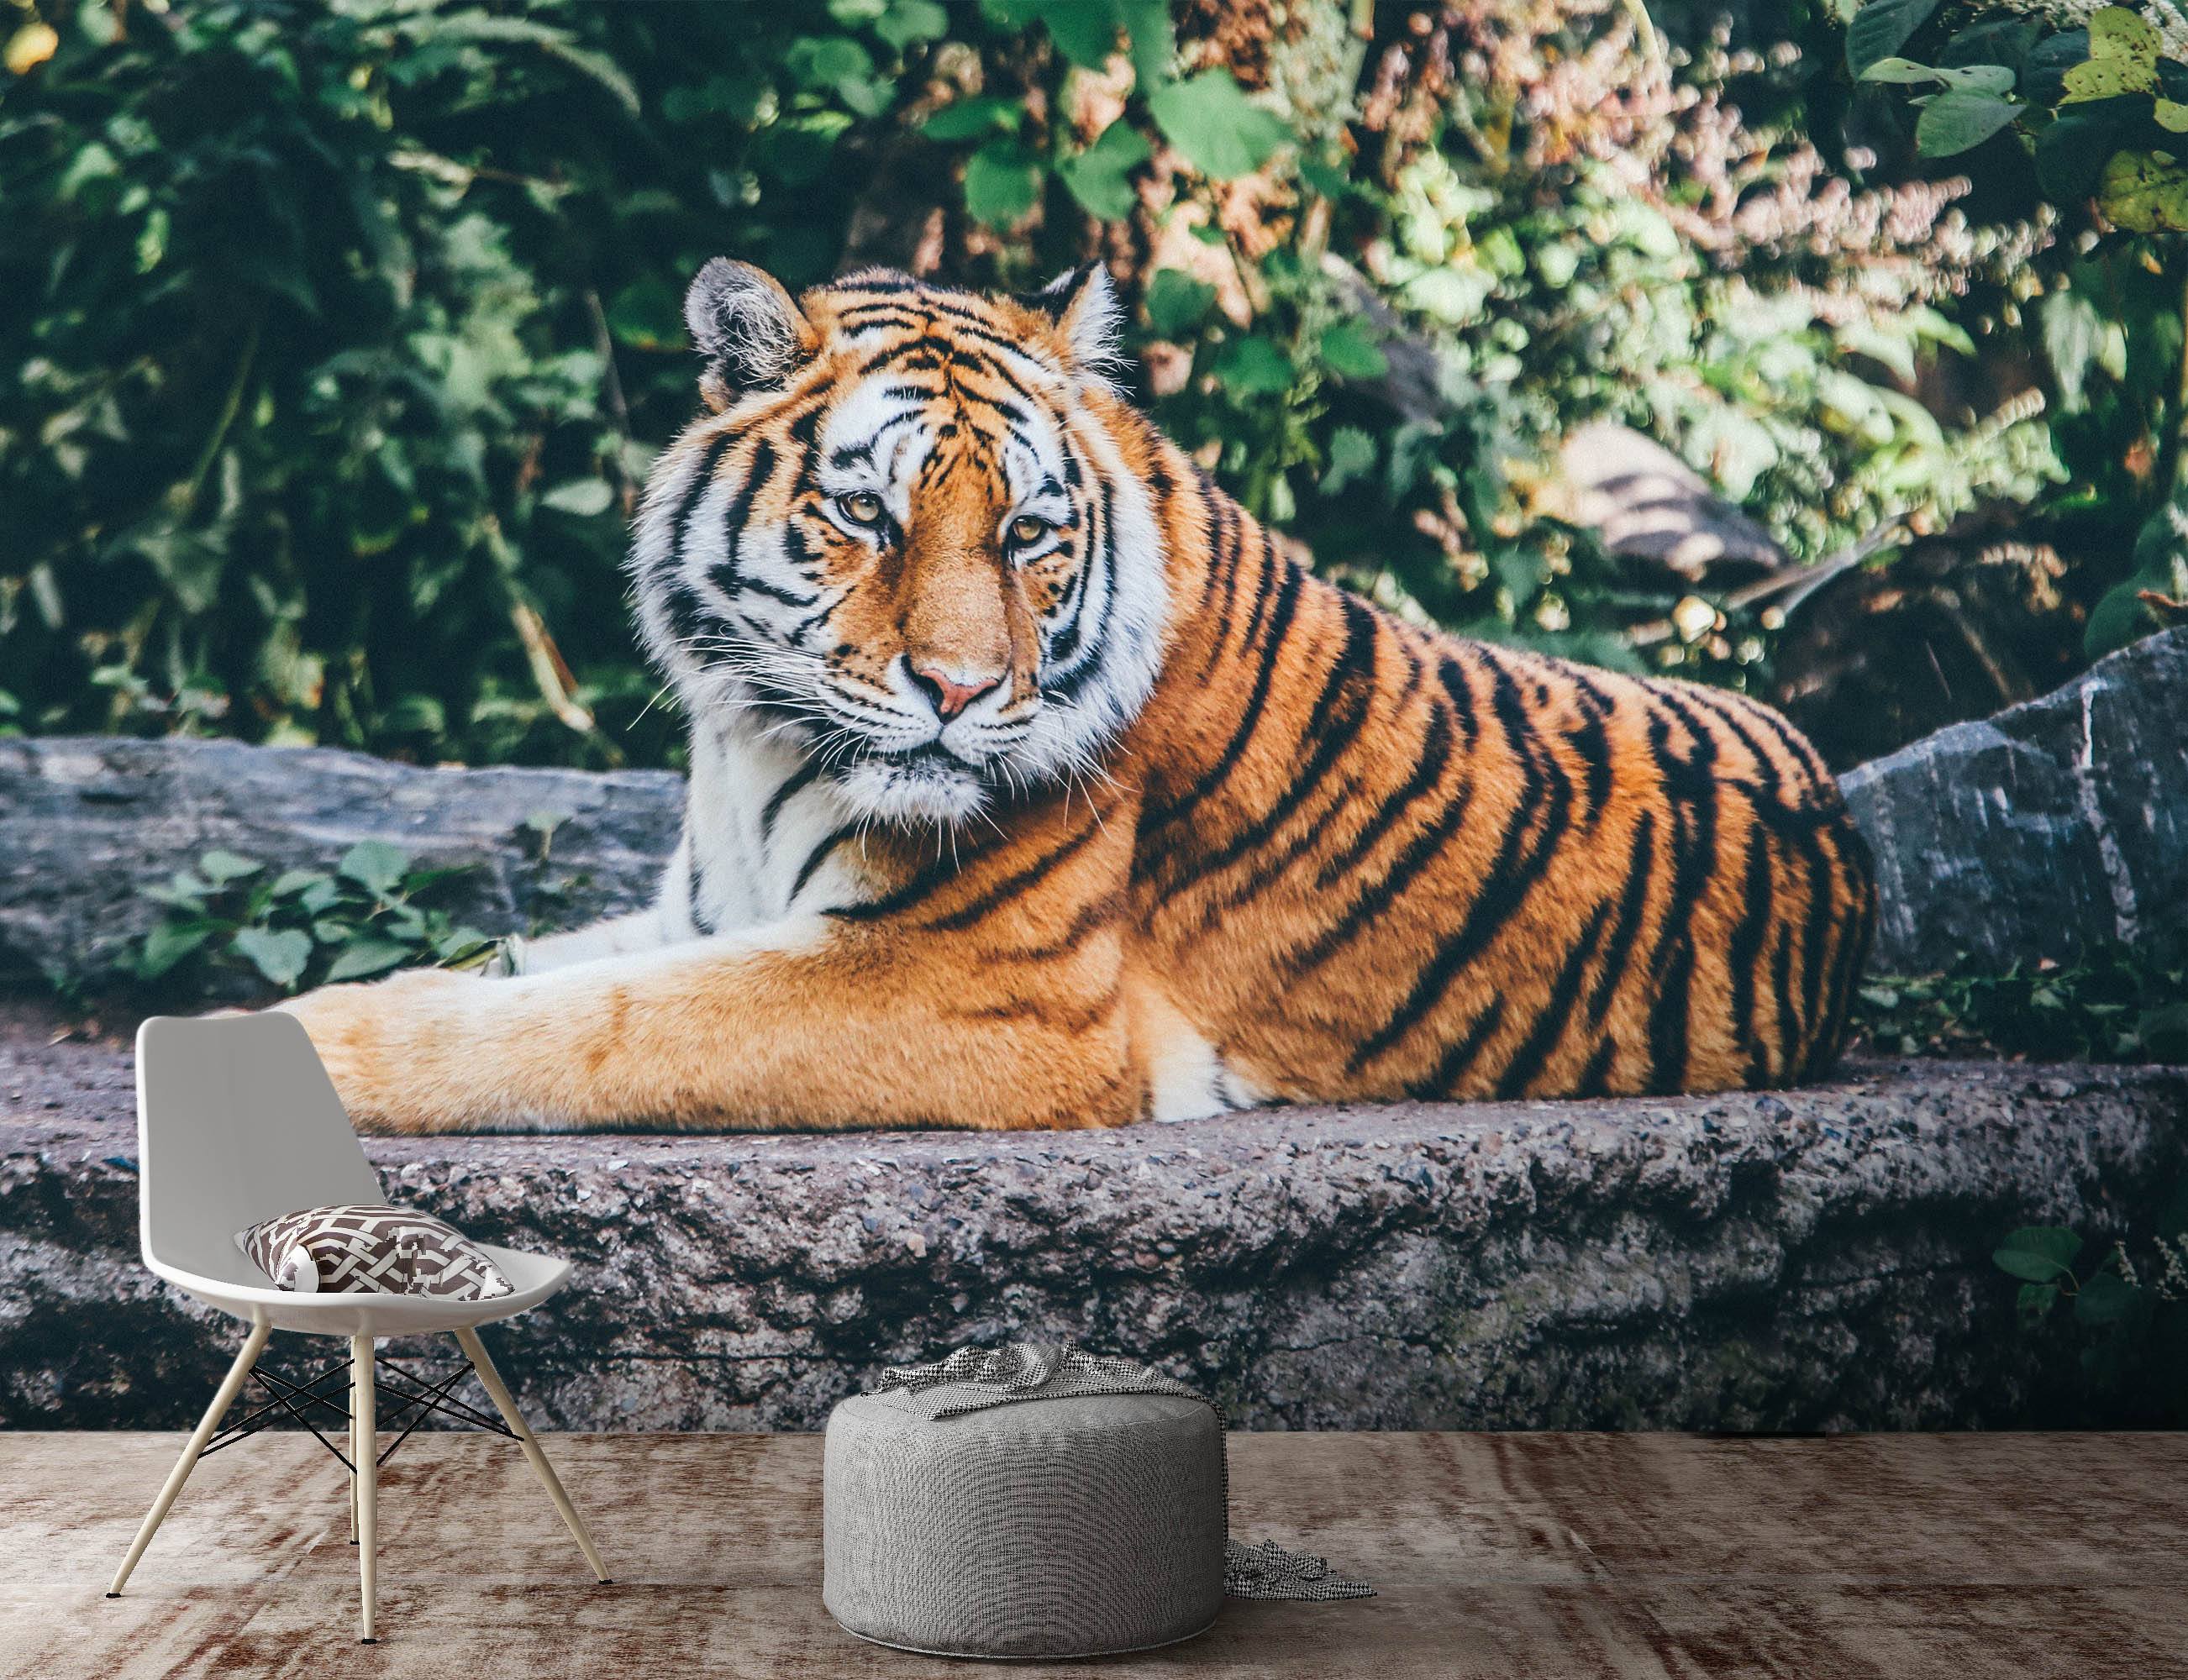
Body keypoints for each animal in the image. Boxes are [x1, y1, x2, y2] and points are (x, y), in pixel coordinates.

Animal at [275, 259, 1876, 1134]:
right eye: (864, 515)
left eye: (1029, 534)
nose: (958, 690)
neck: (753, 743)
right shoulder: (702, 912)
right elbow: (533, 972)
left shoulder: (973, 984)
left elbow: (589, 1027)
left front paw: (303, 1043)